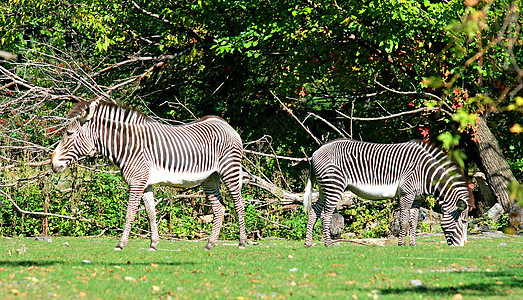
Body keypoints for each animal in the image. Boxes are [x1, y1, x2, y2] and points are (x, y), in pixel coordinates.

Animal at [52, 100, 249, 251]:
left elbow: (130, 213)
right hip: (210, 177)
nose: (53, 164)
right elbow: (151, 213)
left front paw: (121, 244)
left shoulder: (137, 182)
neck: (128, 146)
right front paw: (153, 244)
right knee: (219, 208)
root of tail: (226, 124)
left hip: (229, 170)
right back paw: (210, 244)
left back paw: (242, 242)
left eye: (69, 134)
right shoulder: (146, 184)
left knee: (239, 203)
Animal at [302, 138, 474, 246]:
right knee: (326, 215)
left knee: (314, 212)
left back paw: (308, 243)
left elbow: (413, 221)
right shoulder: (406, 194)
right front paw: (401, 243)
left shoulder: (417, 198)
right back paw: (328, 244)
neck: (426, 173)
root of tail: (315, 152)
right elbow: (404, 220)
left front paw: (413, 244)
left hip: (324, 188)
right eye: (464, 222)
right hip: (334, 185)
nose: (463, 246)